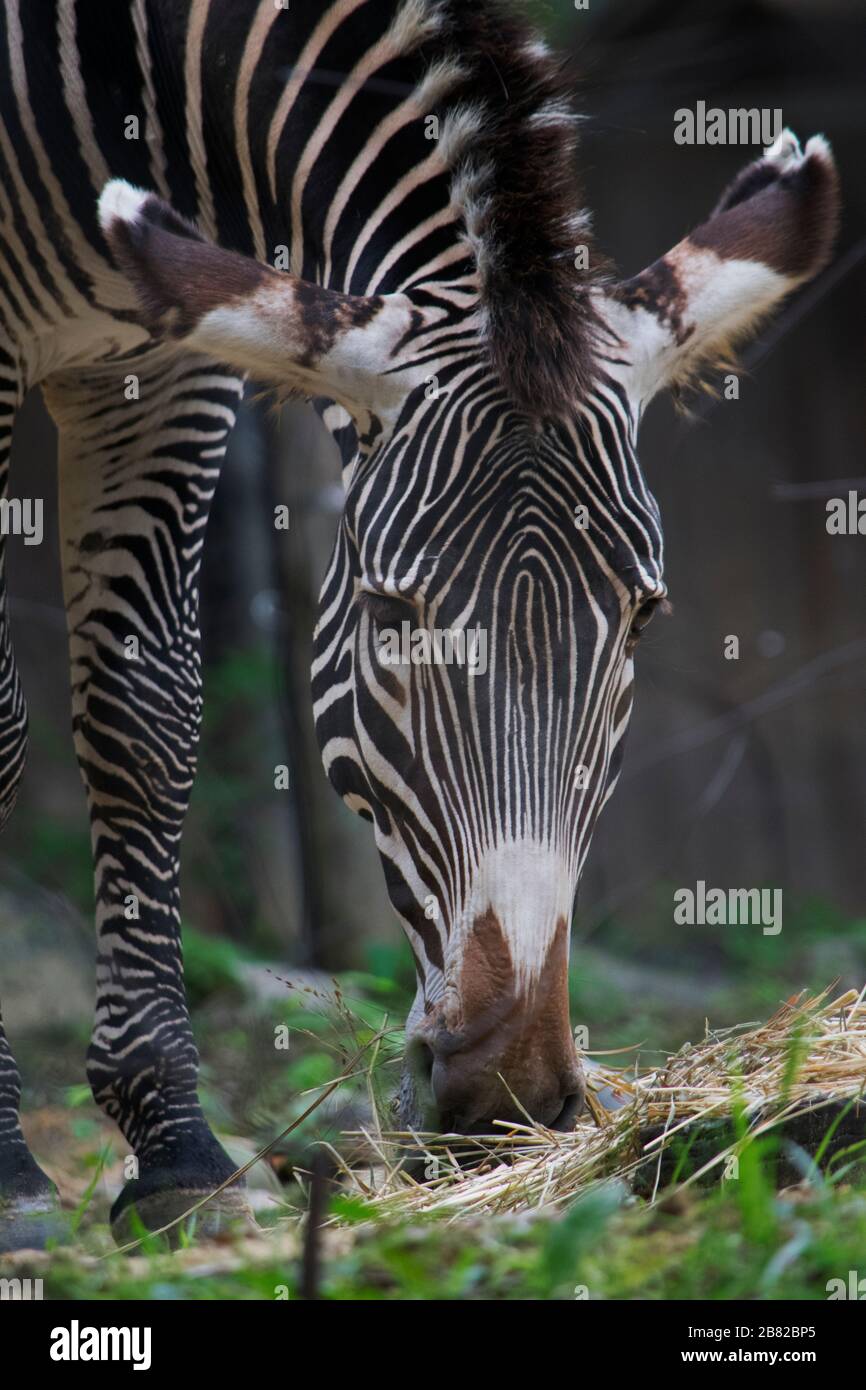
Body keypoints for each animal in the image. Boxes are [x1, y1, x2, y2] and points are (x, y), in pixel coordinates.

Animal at [0, 0, 839, 1245]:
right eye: (391, 613)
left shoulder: (162, 367)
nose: (509, 1094)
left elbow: (144, 717)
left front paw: (179, 1154)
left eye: (641, 621)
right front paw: (12, 1163)